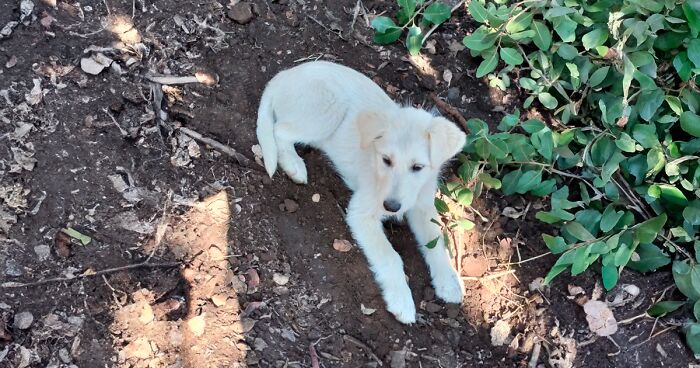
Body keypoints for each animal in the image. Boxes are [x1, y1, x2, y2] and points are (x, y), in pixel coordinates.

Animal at [256, 60, 464, 322]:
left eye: (417, 167)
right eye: (386, 160)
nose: (391, 207)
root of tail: (283, 75)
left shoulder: (423, 207)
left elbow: (437, 242)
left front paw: (449, 282)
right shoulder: (361, 213)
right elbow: (390, 256)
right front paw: (401, 300)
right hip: (328, 110)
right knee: (279, 130)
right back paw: (294, 165)